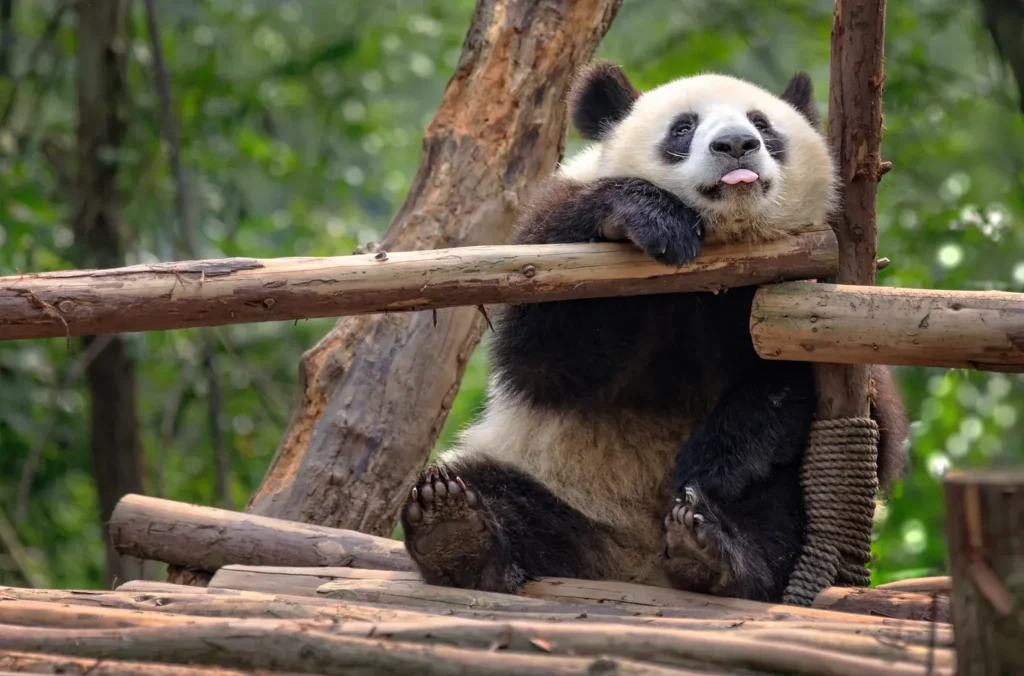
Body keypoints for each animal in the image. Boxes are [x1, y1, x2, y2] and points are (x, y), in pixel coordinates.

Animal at [399, 60, 909, 602]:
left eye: (763, 124)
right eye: (683, 128)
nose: (736, 144)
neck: (722, 252)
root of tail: (636, 568)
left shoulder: (816, 288)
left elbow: (811, 388)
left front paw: (711, 462)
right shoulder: (556, 244)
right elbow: (545, 359)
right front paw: (653, 218)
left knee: (781, 515)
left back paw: (712, 551)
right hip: (553, 479)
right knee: (495, 488)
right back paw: (455, 531)